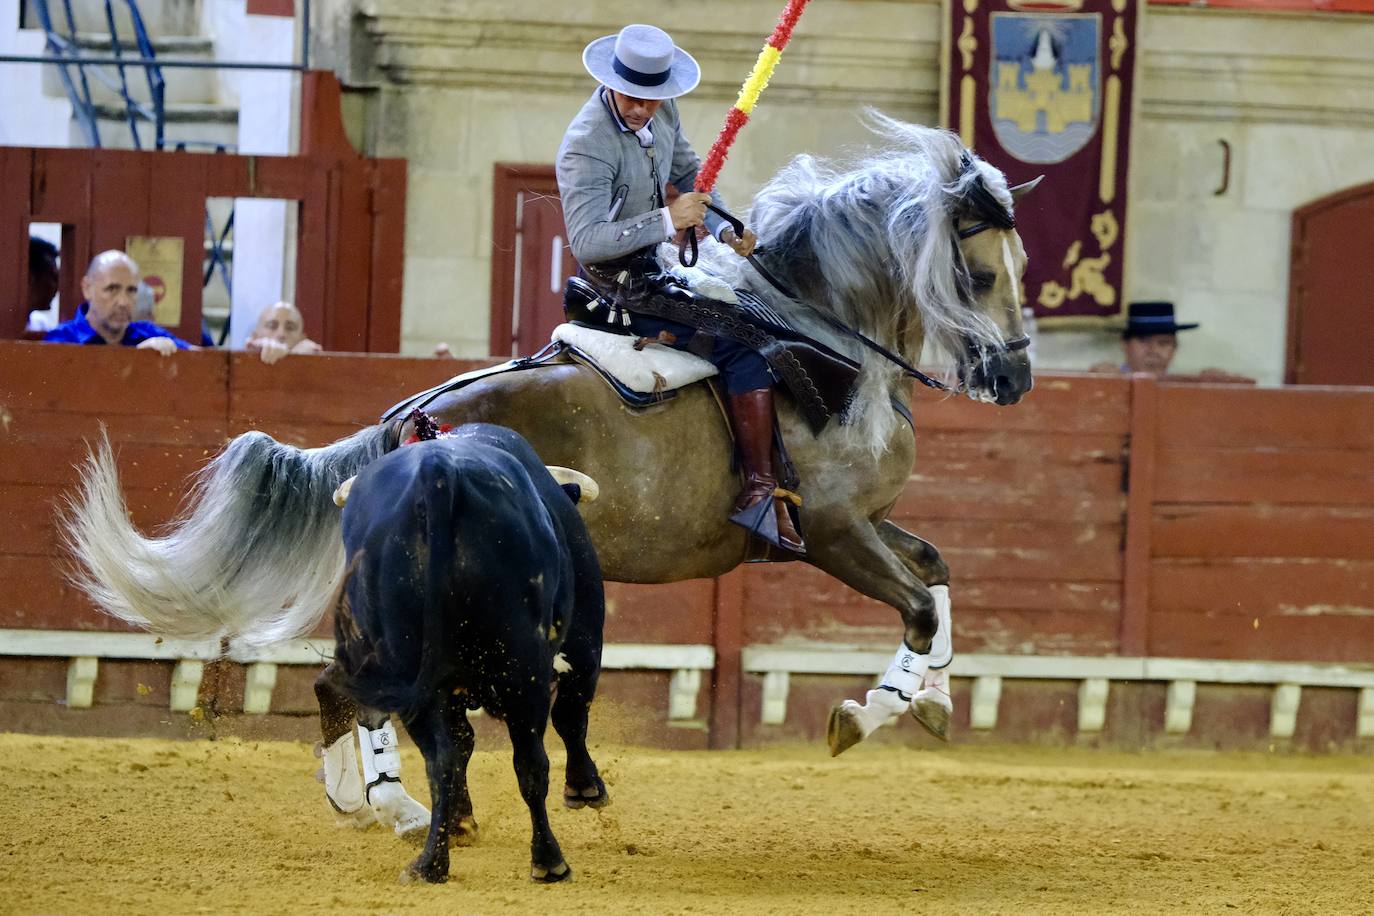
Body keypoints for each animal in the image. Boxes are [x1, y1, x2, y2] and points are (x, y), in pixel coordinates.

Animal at [321, 425, 607, 884]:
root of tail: (437, 473)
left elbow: (461, 744)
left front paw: (459, 822)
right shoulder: (584, 643)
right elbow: (571, 716)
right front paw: (585, 787)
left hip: (412, 673)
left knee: (442, 763)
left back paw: (429, 864)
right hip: (521, 668)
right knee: (531, 761)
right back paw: (548, 861)